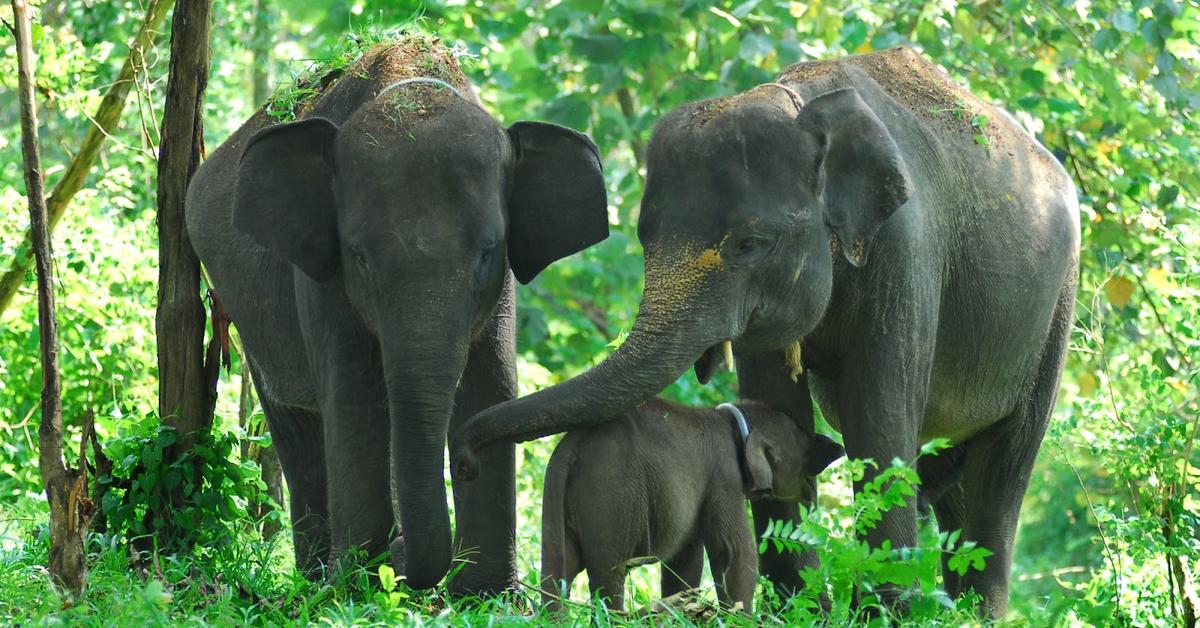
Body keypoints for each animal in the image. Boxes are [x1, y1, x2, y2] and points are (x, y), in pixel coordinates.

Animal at [186, 36, 609, 593]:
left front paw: (485, 594)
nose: (464, 466)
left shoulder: (500, 287)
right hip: (244, 313)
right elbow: (354, 395)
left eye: (488, 251)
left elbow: (491, 383)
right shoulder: (321, 277)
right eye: (360, 256)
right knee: (296, 428)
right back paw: (316, 578)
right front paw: (354, 585)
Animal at [544, 398, 844, 614]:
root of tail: (572, 446)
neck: (732, 418)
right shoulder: (724, 478)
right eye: (804, 447)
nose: (836, 446)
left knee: (558, 570)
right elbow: (734, 552)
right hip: (610, 497)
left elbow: (685, 560)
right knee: (609, 575)